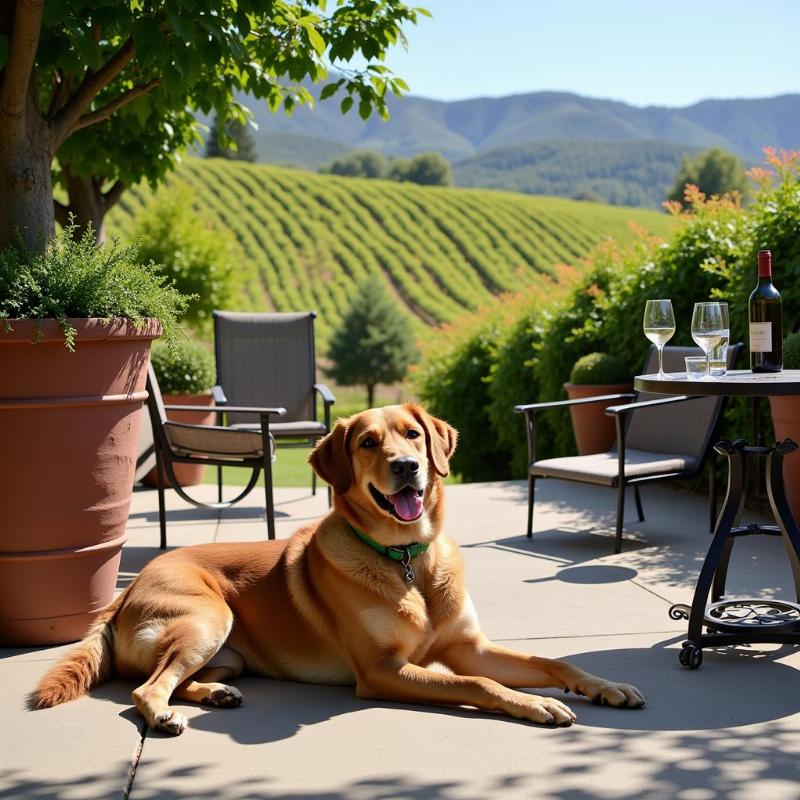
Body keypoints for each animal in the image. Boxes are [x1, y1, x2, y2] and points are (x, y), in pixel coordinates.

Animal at [34, 404, 644, 736]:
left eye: (414, 434)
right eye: (369, 442)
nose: (408, 467)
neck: (407, 561)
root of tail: (124, 591)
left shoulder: (468, 645)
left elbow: (550, 659)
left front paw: (605, 686)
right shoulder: (382, 671)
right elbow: (478, 683)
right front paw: (538, 704)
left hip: (225, 652)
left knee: (172, 679)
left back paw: (215, 695)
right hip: (208, 619)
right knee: (145, 690)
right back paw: (164, 717)